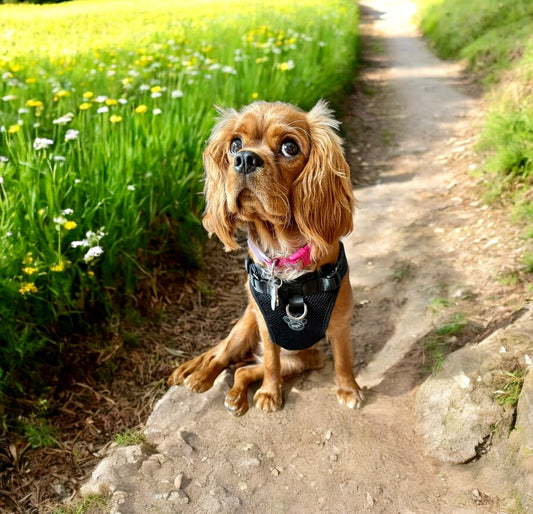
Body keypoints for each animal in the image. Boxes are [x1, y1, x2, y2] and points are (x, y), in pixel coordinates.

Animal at [168, 99, 364, 412]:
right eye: (235, 144)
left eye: (289, 147)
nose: (245, 159)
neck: (283, 255)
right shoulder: (265, 326)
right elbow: (271, 362)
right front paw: (270, 393)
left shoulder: (340, 322)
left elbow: (344, 360)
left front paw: (349, 390)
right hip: (245, 327)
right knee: (221, 356)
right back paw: (200, 378)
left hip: (306, 358)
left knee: (243, 369)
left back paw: (235, 395)